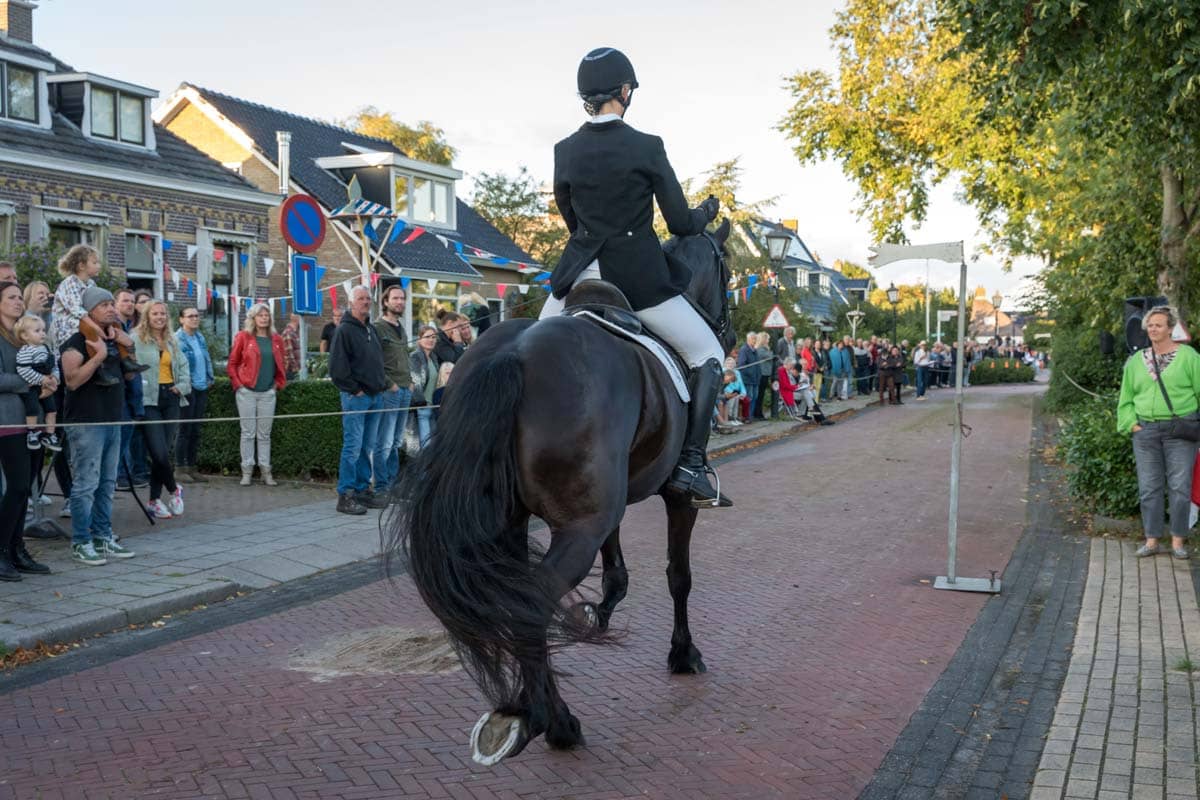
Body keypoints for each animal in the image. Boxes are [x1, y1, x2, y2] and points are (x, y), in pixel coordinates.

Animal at [388, 219, 734, 762]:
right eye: (727, 272)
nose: (731, 332)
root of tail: (513, 355)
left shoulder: (610, 503)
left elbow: (617, 575)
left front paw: (596, 613)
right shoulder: (675, 499)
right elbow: (679, 576)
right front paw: (683, 653)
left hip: (511, 525)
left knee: (516, 601)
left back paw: (534, 715)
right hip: (577, 527)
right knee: (533, 602)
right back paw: (548, 723)